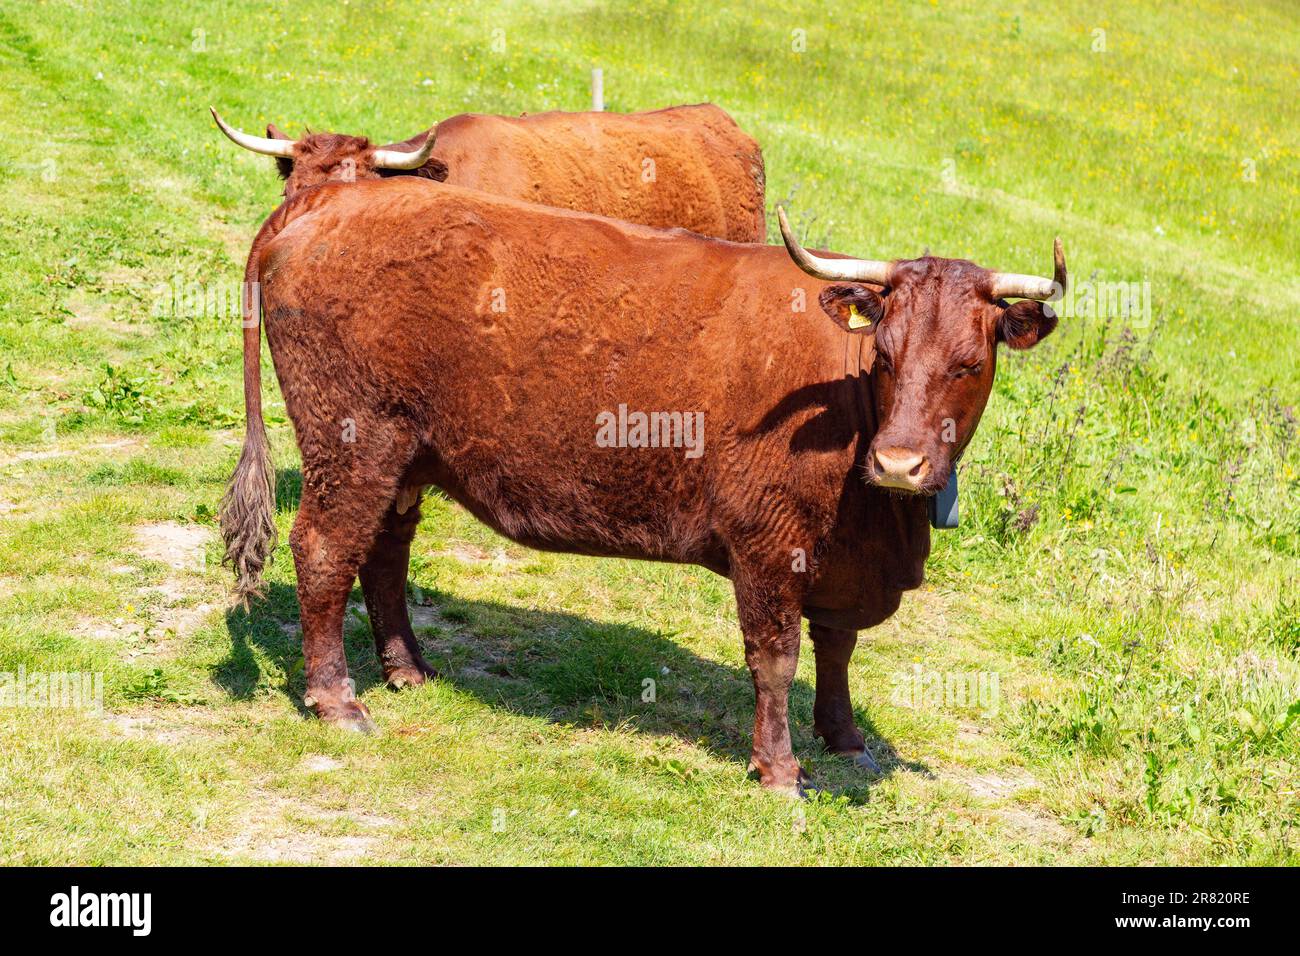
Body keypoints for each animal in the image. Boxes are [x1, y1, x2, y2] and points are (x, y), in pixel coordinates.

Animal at [220, 176, 1064, 796]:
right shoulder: (769, 542)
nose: (898, 464)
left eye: (970, 364)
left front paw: (845, 736)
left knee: (385, 551)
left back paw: (409, 670)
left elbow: (838, 646)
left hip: (405, 454)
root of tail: (335, 197)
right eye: (885, 354)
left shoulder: (840, 557)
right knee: (326, 549)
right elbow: (776, 657)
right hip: (353, 439)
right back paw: (336, 699)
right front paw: (779, 769)